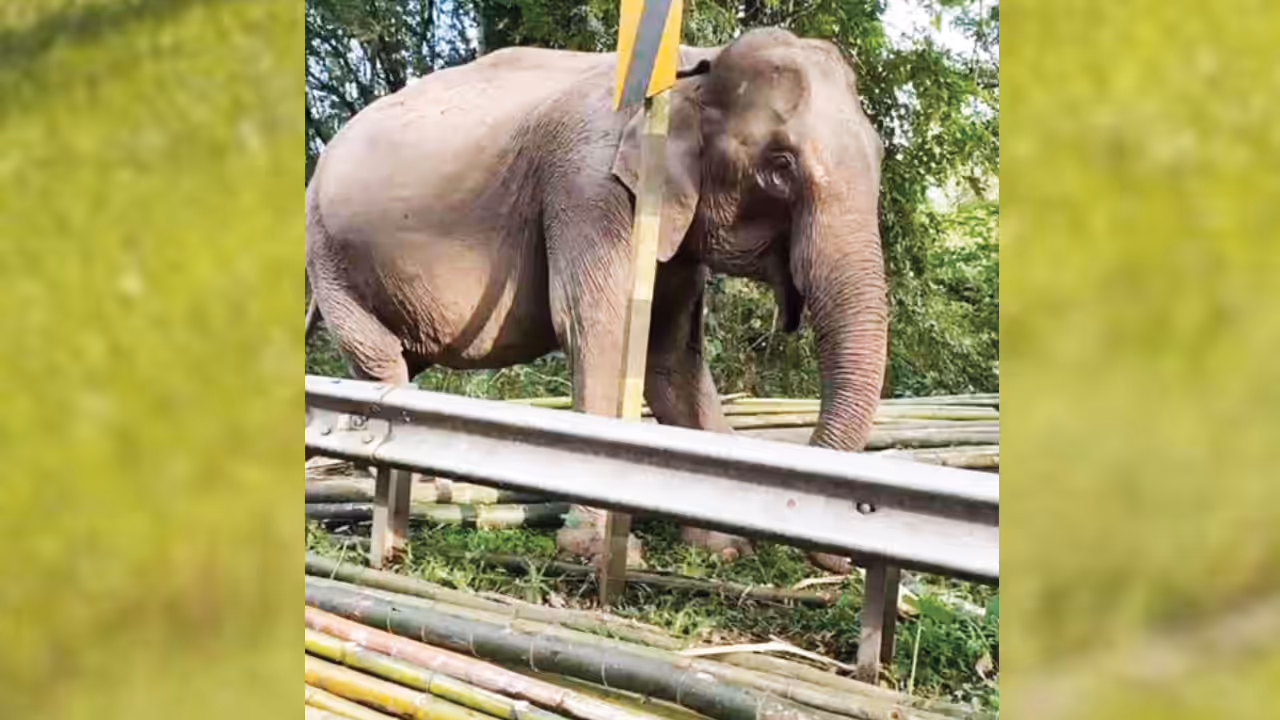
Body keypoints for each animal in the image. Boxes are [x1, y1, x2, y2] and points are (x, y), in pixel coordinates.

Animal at [305, 27, 888, 568]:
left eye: (880, 152)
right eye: (780, 166)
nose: (849, 536)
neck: (693, 65)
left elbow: (670, 356)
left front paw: (721, 546)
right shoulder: (589, 187)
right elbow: (600, 328)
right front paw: (600, 551)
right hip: (328, 256)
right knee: (383, 363)